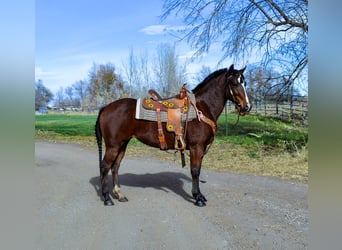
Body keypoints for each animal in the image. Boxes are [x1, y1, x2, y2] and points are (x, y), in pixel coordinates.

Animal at [95, 64, 252, 207]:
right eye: (234, 83)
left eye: (244, 83)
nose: (247, 107)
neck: (201, 108)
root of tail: (106, 107)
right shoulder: (196, 148)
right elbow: (195, 171)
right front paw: (198, 198)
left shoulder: (200, 150)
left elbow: (198, 170)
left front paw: (200, 195)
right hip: (113, 145)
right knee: (105, 166)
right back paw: (107, 198)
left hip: (123, 144)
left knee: (115, 167)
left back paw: (119, 194)